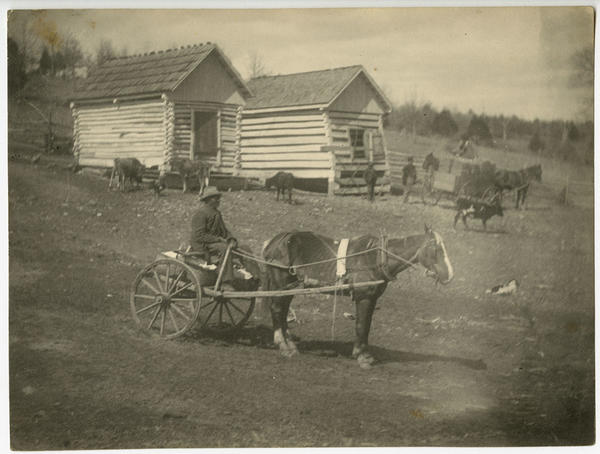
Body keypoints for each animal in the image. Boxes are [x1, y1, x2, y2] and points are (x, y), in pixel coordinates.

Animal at [261, 225, 454, 369]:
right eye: (436, 249)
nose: (450, 275)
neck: (375, 258)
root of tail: (275, 241)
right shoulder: (364, 297)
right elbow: (361, 325)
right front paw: (362, 356)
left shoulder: (372, 298)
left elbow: (366, 325)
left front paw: (363, 353)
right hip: (280, 283)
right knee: (277, 309)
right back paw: (283, 346)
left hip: (290, 287)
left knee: (283, 311)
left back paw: (290, 344)